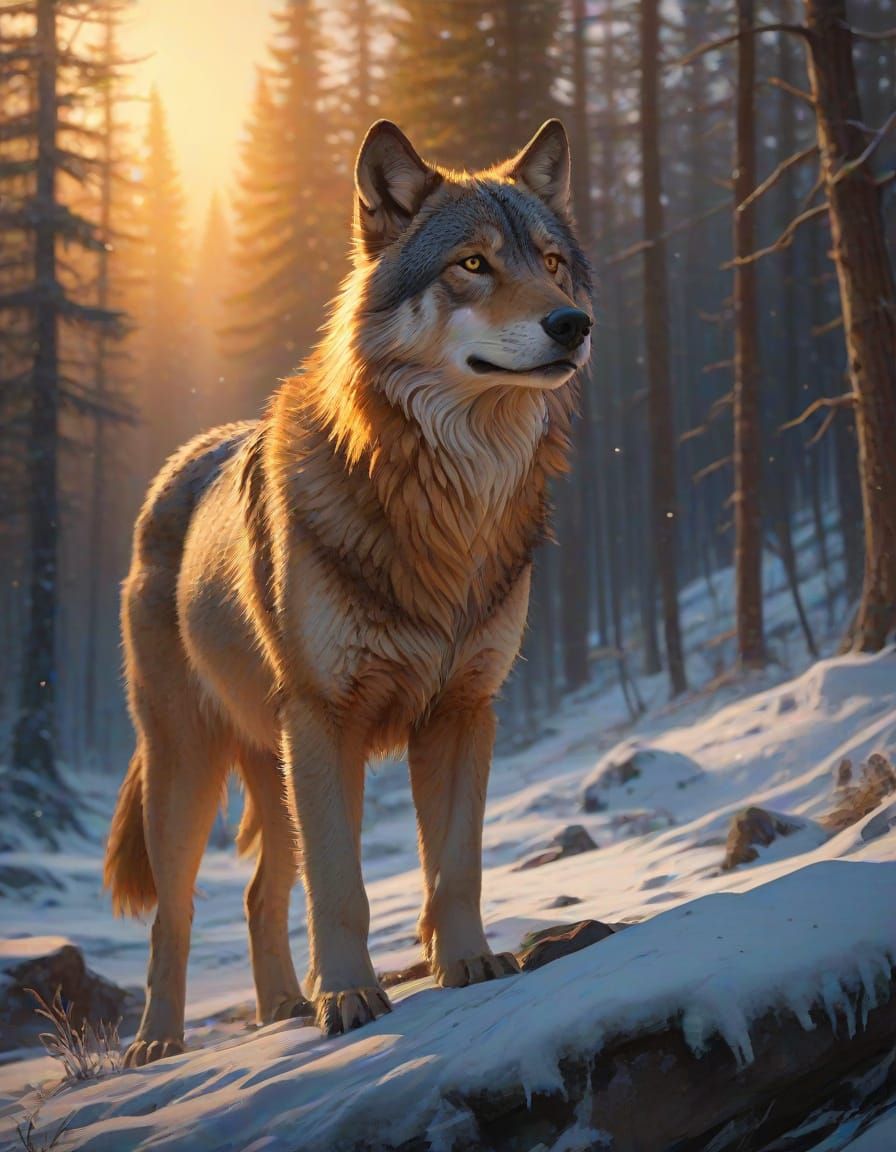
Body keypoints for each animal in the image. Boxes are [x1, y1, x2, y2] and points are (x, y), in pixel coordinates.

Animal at [104, 119, 592, 1066]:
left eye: (552, 262)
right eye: (472, 265)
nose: (573, 322)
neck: (448, 503)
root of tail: (175, 466)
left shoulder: (465, 711)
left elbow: (456, 866)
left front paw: (471, 966)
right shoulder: (328, 721)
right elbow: (342, 887)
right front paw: (352, 1000)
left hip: (275, 765)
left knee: (258, 894)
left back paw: (283, 1008)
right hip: (192, 769)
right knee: (174, 916)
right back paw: (159, 1043)